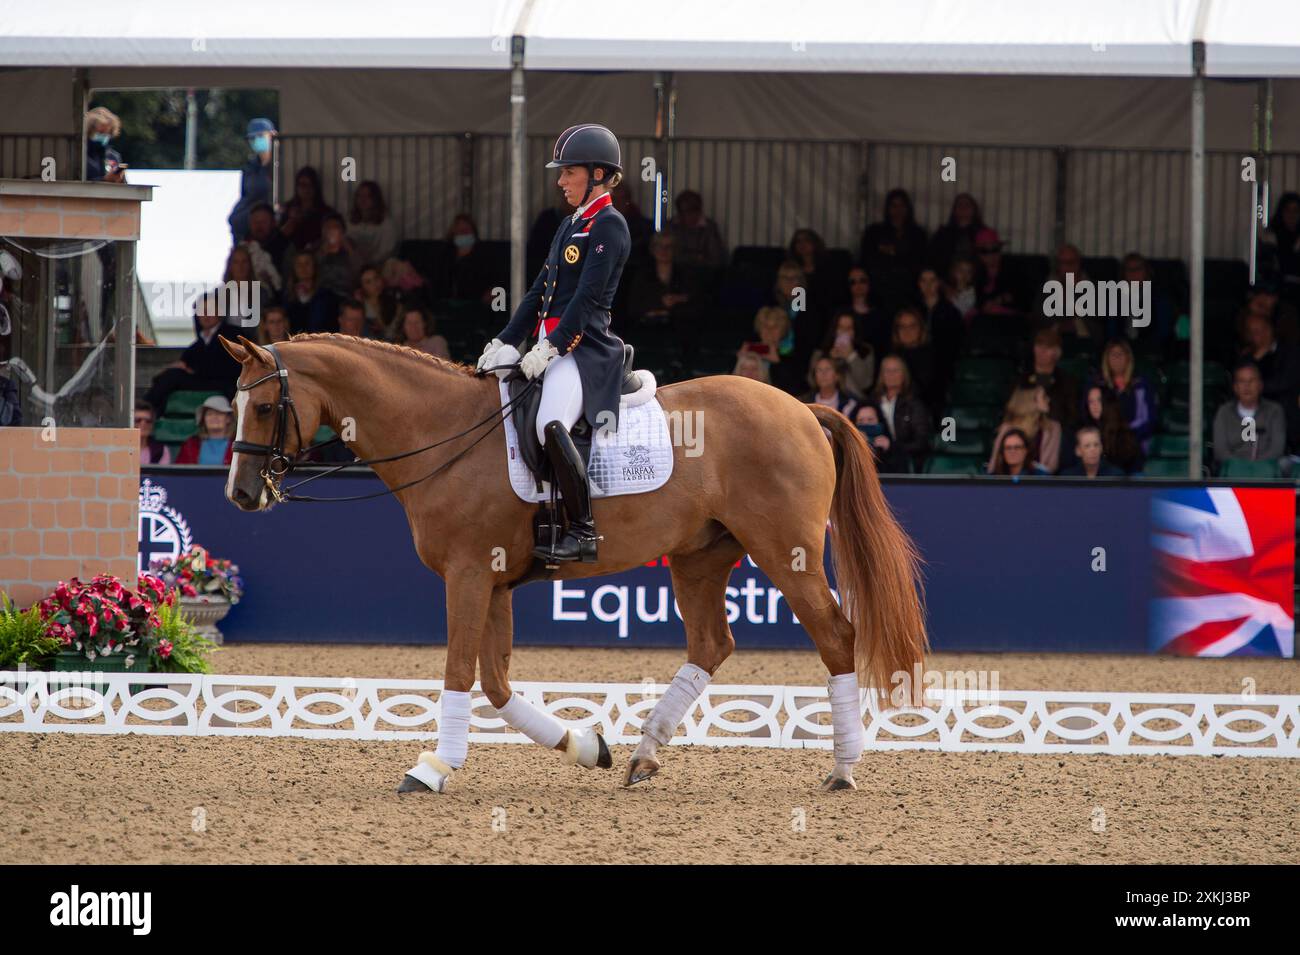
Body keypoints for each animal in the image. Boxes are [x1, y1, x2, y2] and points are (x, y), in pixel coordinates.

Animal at [218, 335, 925, 789]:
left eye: (264, 406)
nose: (242, 494)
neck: (440, 431)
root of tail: (802, 407)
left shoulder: (469, 575)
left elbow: (458, 672)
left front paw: (433, 768)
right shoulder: (495, 583)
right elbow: (496, 685)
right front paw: (587, 747)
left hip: (786, 553)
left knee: (836, 636)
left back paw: (843, 768)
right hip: (700, 557)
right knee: (711, 644)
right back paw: (642, 756)